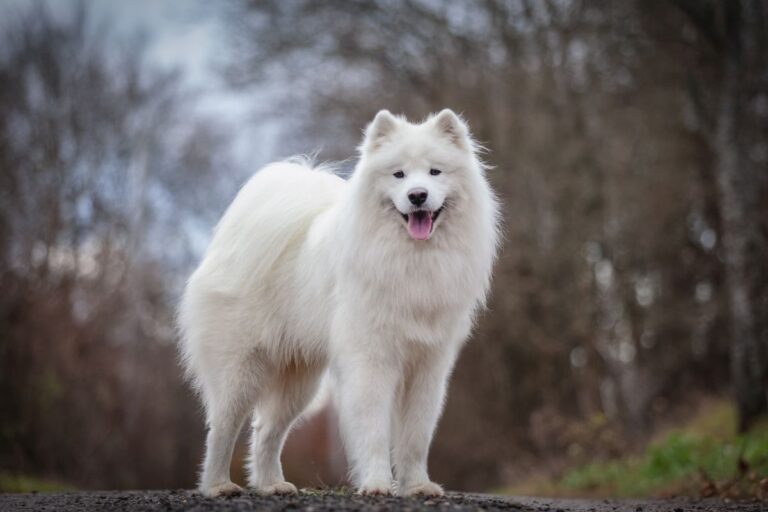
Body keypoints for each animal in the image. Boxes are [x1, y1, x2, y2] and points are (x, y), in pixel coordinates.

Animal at [177, 108, 500, 496]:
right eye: (399, 174)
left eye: (435, 172)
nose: (418, 195)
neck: (412, 260)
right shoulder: (370, 360)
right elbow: (373, 430)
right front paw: (376, 483)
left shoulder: (428, 365)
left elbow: (416, 437)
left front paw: (418, 486)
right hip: (240, 371)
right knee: (221, 428)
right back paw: (218, 486)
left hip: (298, 382)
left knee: (265, 431)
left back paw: (272, 485)